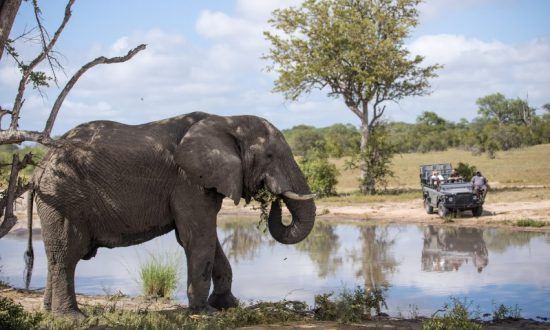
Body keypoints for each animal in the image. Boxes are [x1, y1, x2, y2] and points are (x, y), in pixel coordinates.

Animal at [30, 112, 316, 316]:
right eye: (269, 155)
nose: (274, 200)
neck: (227, 120)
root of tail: (41, 165)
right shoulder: (187, 179)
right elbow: (197, 237)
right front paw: (206, 313)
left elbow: (207, 239)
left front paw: (228, 305)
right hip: (63, 196)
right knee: (68, 252)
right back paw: (71, 317)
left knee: (55, 255)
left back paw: (48, 311)